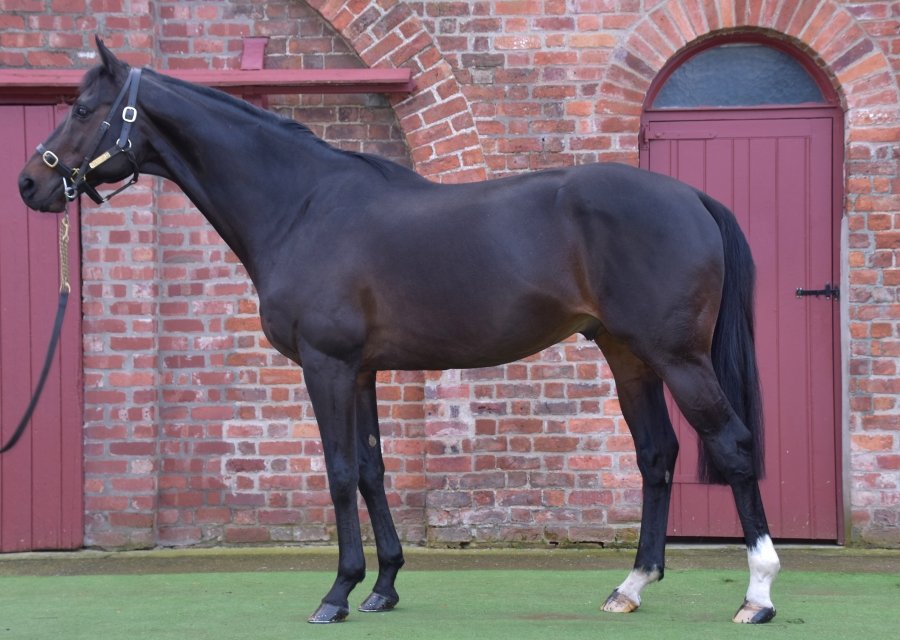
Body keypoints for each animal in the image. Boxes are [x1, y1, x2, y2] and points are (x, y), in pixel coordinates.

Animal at [18, 39, 779, 625]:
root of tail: (692, 197)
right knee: (656, 456)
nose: (29, 184)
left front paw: (336, 593)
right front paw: (382, 586)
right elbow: (373, 471)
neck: (302, 206)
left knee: (734, 446)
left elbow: (338, 472)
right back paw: (630, 587)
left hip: (680, 358)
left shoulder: (325, 365)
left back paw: (757, 595)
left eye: (82, 110)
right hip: (630, 358)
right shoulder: (360, 370)